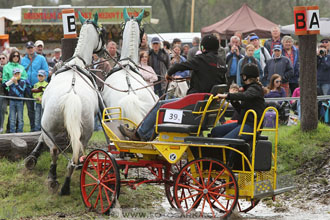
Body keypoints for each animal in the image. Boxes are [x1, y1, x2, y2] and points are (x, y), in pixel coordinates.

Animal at [40, 12, 104, 195]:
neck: (76, 63)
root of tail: (72, 97)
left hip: (49, 130)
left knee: (54, 151)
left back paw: (55, 180)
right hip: (83, 133)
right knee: (73, 158)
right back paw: (65, 185)